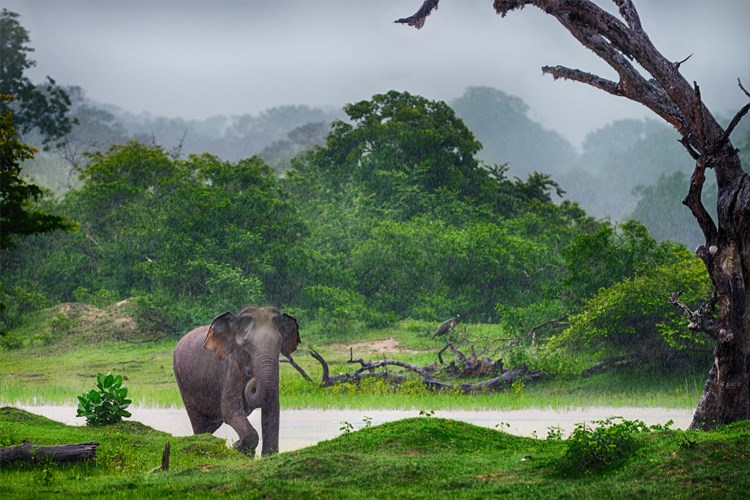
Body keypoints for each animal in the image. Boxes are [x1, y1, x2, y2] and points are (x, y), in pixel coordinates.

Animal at [173, 304, 300, 458]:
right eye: (246, 345)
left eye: (280, 343)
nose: (253, 381)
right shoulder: (231, 367)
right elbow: (229, 410)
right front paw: (237, 446)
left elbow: (272, 407)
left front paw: (266, 455)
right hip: (182, 381)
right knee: (198, 421)